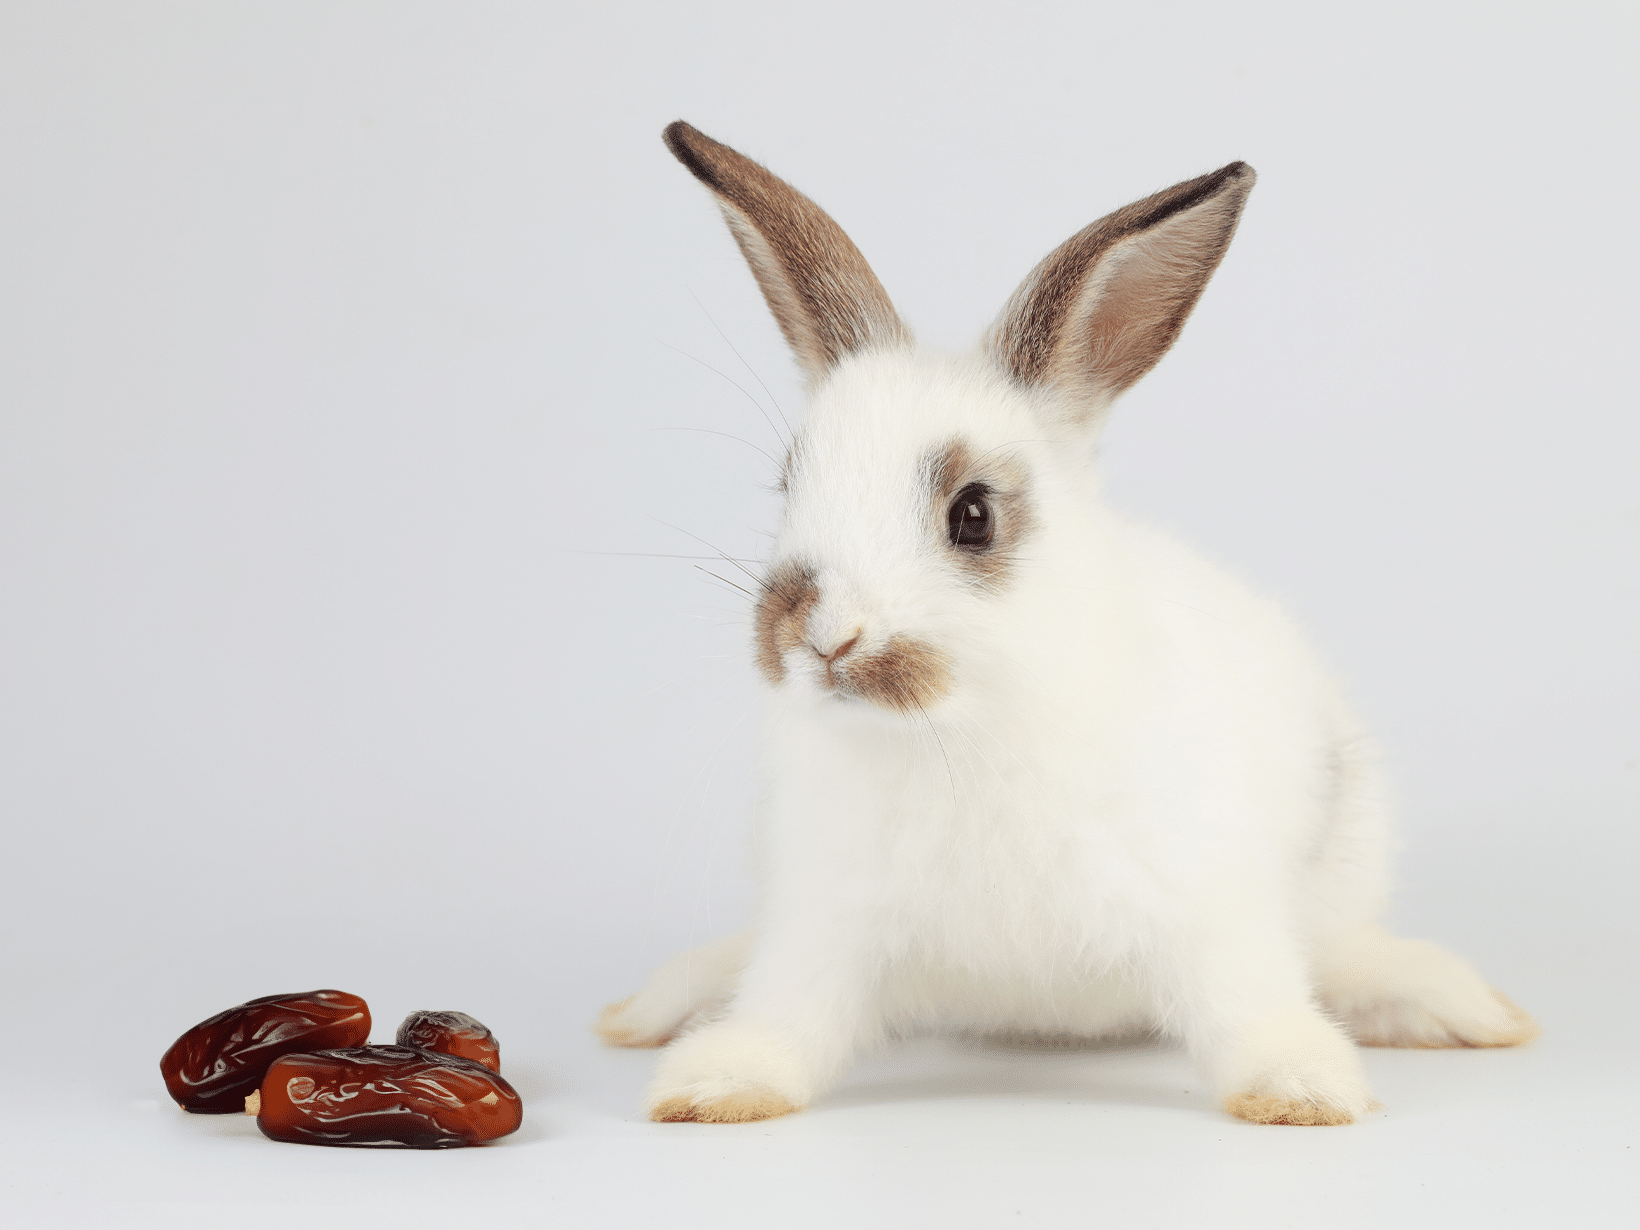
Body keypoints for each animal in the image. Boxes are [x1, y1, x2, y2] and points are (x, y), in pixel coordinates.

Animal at [600, 123, 1535, 1128]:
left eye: (974, 515)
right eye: (786, 487)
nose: (823, 639)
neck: (961, 728)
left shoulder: (1208, 906)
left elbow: (1246, 1000)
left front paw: (1300, 1092)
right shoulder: (826, 921)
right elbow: (790, 1011)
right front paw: (717, 1085)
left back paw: (1463, 1007)